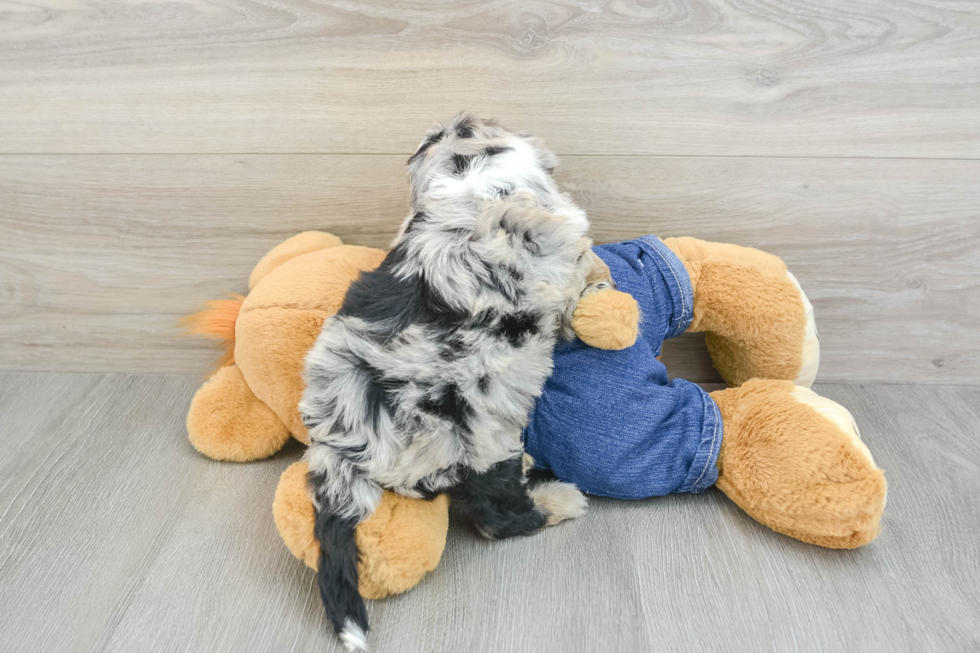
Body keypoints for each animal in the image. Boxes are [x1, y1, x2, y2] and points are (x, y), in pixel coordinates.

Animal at [302, 113, 612, 648]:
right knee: (496, 517)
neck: (472, 181)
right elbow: (578, 267)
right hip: (481, 440)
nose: (453, 119)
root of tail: (344, 447)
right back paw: (558, 500)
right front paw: (596, 281)